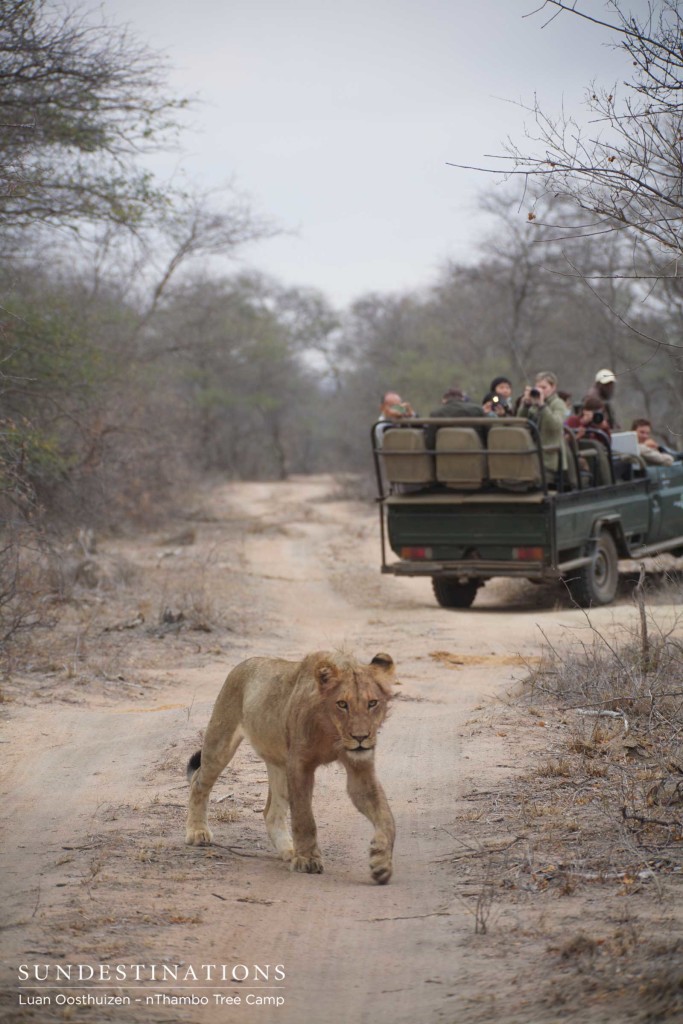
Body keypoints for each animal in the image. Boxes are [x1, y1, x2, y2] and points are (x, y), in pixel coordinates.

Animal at [184, 651, 397, 884]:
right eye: (342, 704)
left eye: (372, 703)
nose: (361, 737)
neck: (332, 731)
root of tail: (244, 663)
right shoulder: (300, 764)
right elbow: (304, 818)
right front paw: (307, 860)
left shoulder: (359, 768)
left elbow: (385, 816)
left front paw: (381, 861)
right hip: (221, 742)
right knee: (199, 782)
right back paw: (197, 831)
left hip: (280, 765)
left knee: (271, 812)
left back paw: (289, 850)